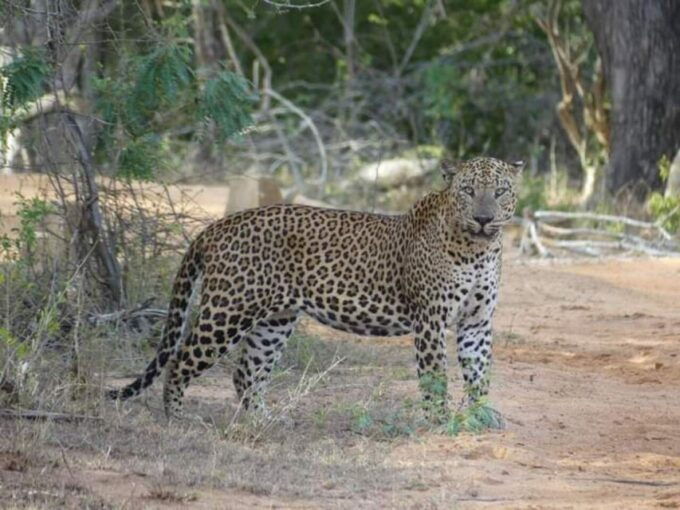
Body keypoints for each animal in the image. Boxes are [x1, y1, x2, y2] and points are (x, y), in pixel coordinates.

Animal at [109, 157, 524, 420]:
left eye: (501, 191)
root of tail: (219, 225)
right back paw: (177, 418)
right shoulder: (431, 321)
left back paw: (265, 420)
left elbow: (479, 372)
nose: (483, 218)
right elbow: (435, 376)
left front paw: (480, 418)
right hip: (228, 312)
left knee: (246, 372)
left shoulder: (476, 322)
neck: (477, 249)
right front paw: (439, 422)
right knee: (180, 361)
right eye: (468, 190)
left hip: (275, 320)